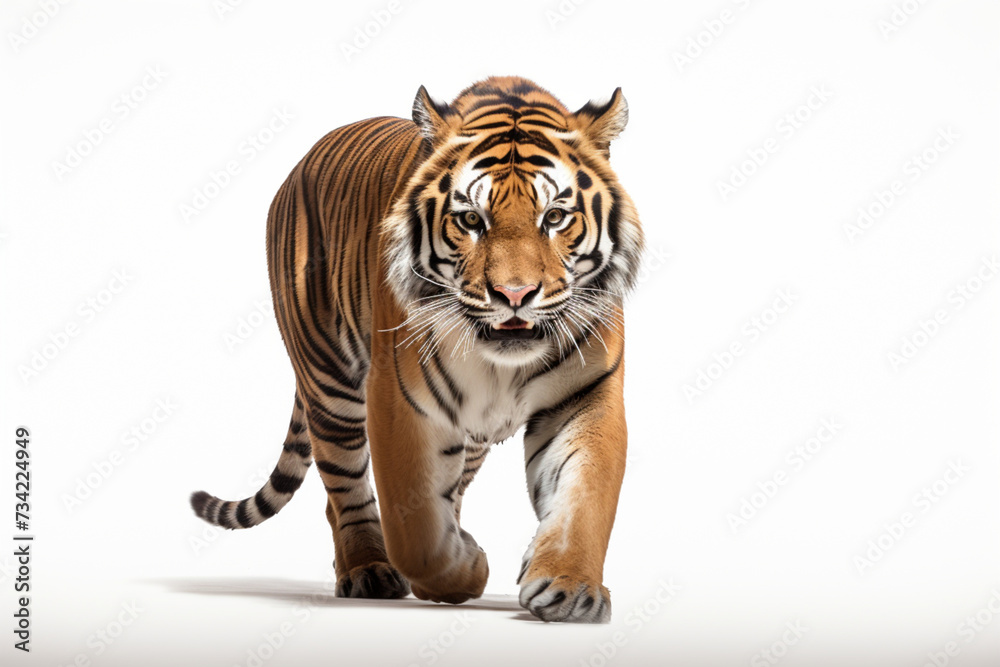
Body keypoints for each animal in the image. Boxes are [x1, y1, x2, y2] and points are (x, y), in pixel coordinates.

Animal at [190, 76, 644, 623]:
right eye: (471, 220)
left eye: (554, 216)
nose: (514, 294)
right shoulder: (399, 400)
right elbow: (414, 530)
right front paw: (465, 569)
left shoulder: (586, 395)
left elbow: (584, 495)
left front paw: (569, 588)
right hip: (330, 382)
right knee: (343, 487)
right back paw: (367, 569)